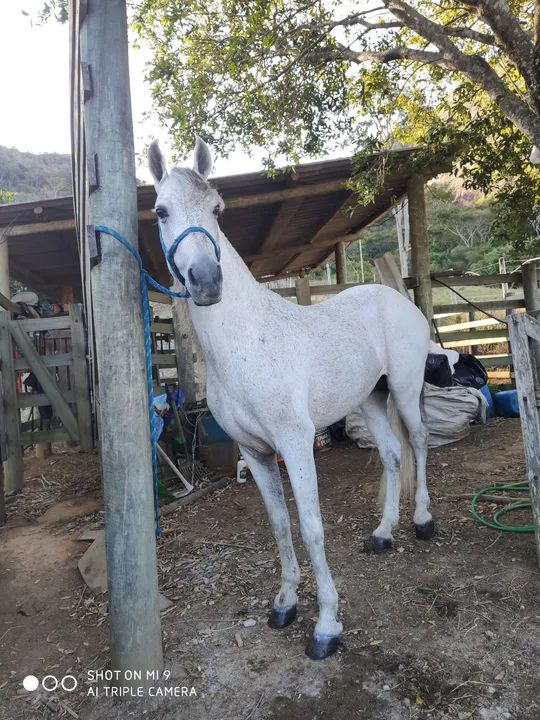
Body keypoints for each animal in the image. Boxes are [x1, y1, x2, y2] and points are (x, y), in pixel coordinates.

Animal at [148, 137, 434, 660]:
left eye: (217, 210)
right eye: (161, 211)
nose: (206, 281)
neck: (249, 342)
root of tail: (398, 300)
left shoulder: (296, 445)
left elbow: (311, 528)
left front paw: (326, 626)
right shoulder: (256, 452)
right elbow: (280, 526)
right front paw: (284, 604)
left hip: (404, 390)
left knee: (419, 442)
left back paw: (423, 520)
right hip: (371, 398)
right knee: (390, 454)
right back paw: (383, 534)